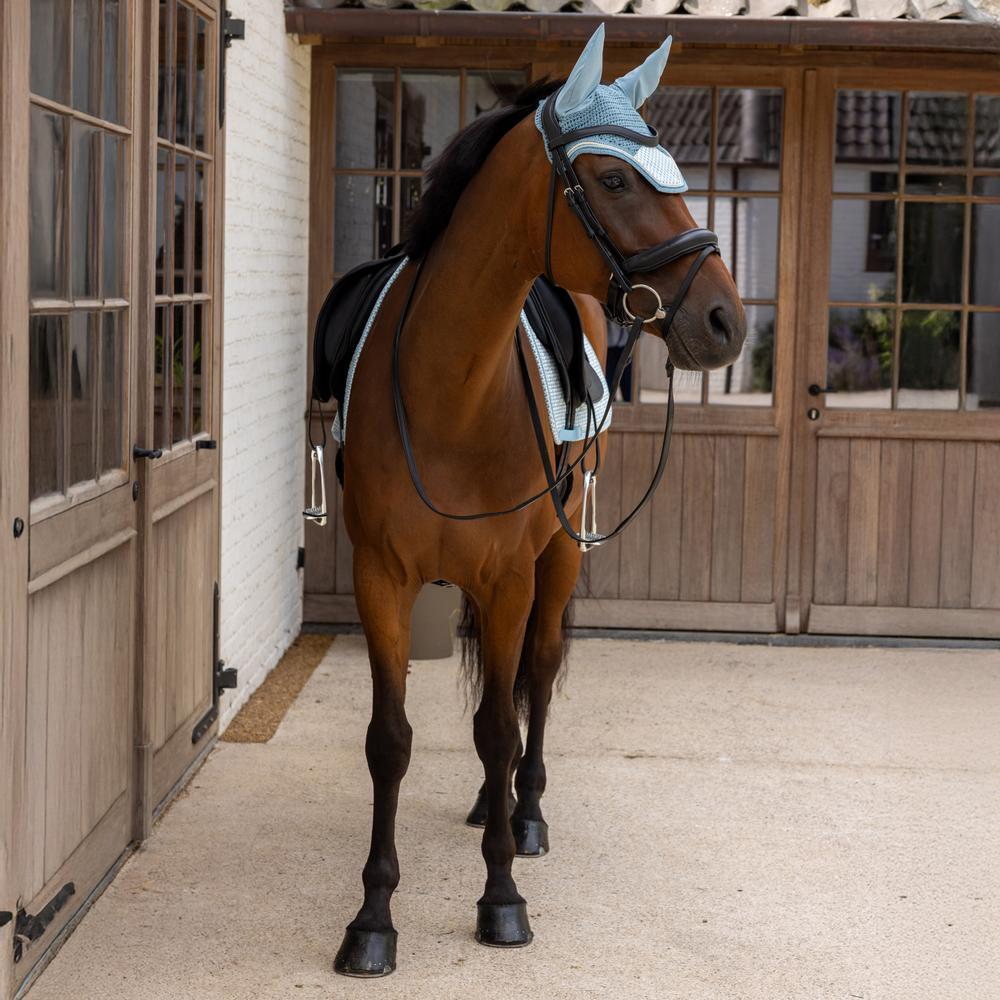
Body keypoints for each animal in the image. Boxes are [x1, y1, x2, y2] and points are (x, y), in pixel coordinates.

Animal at [329, 25, 746, 976]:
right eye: (615, 179)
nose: (726, 322)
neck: (449, 390)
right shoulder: (382, 581)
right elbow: (390, 741)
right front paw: (372, 917)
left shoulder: (512, 576)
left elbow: (498, 724)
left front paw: (502, 898)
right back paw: (493, 807)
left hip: (554, 561)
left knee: (540, 677)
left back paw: (522, 817)